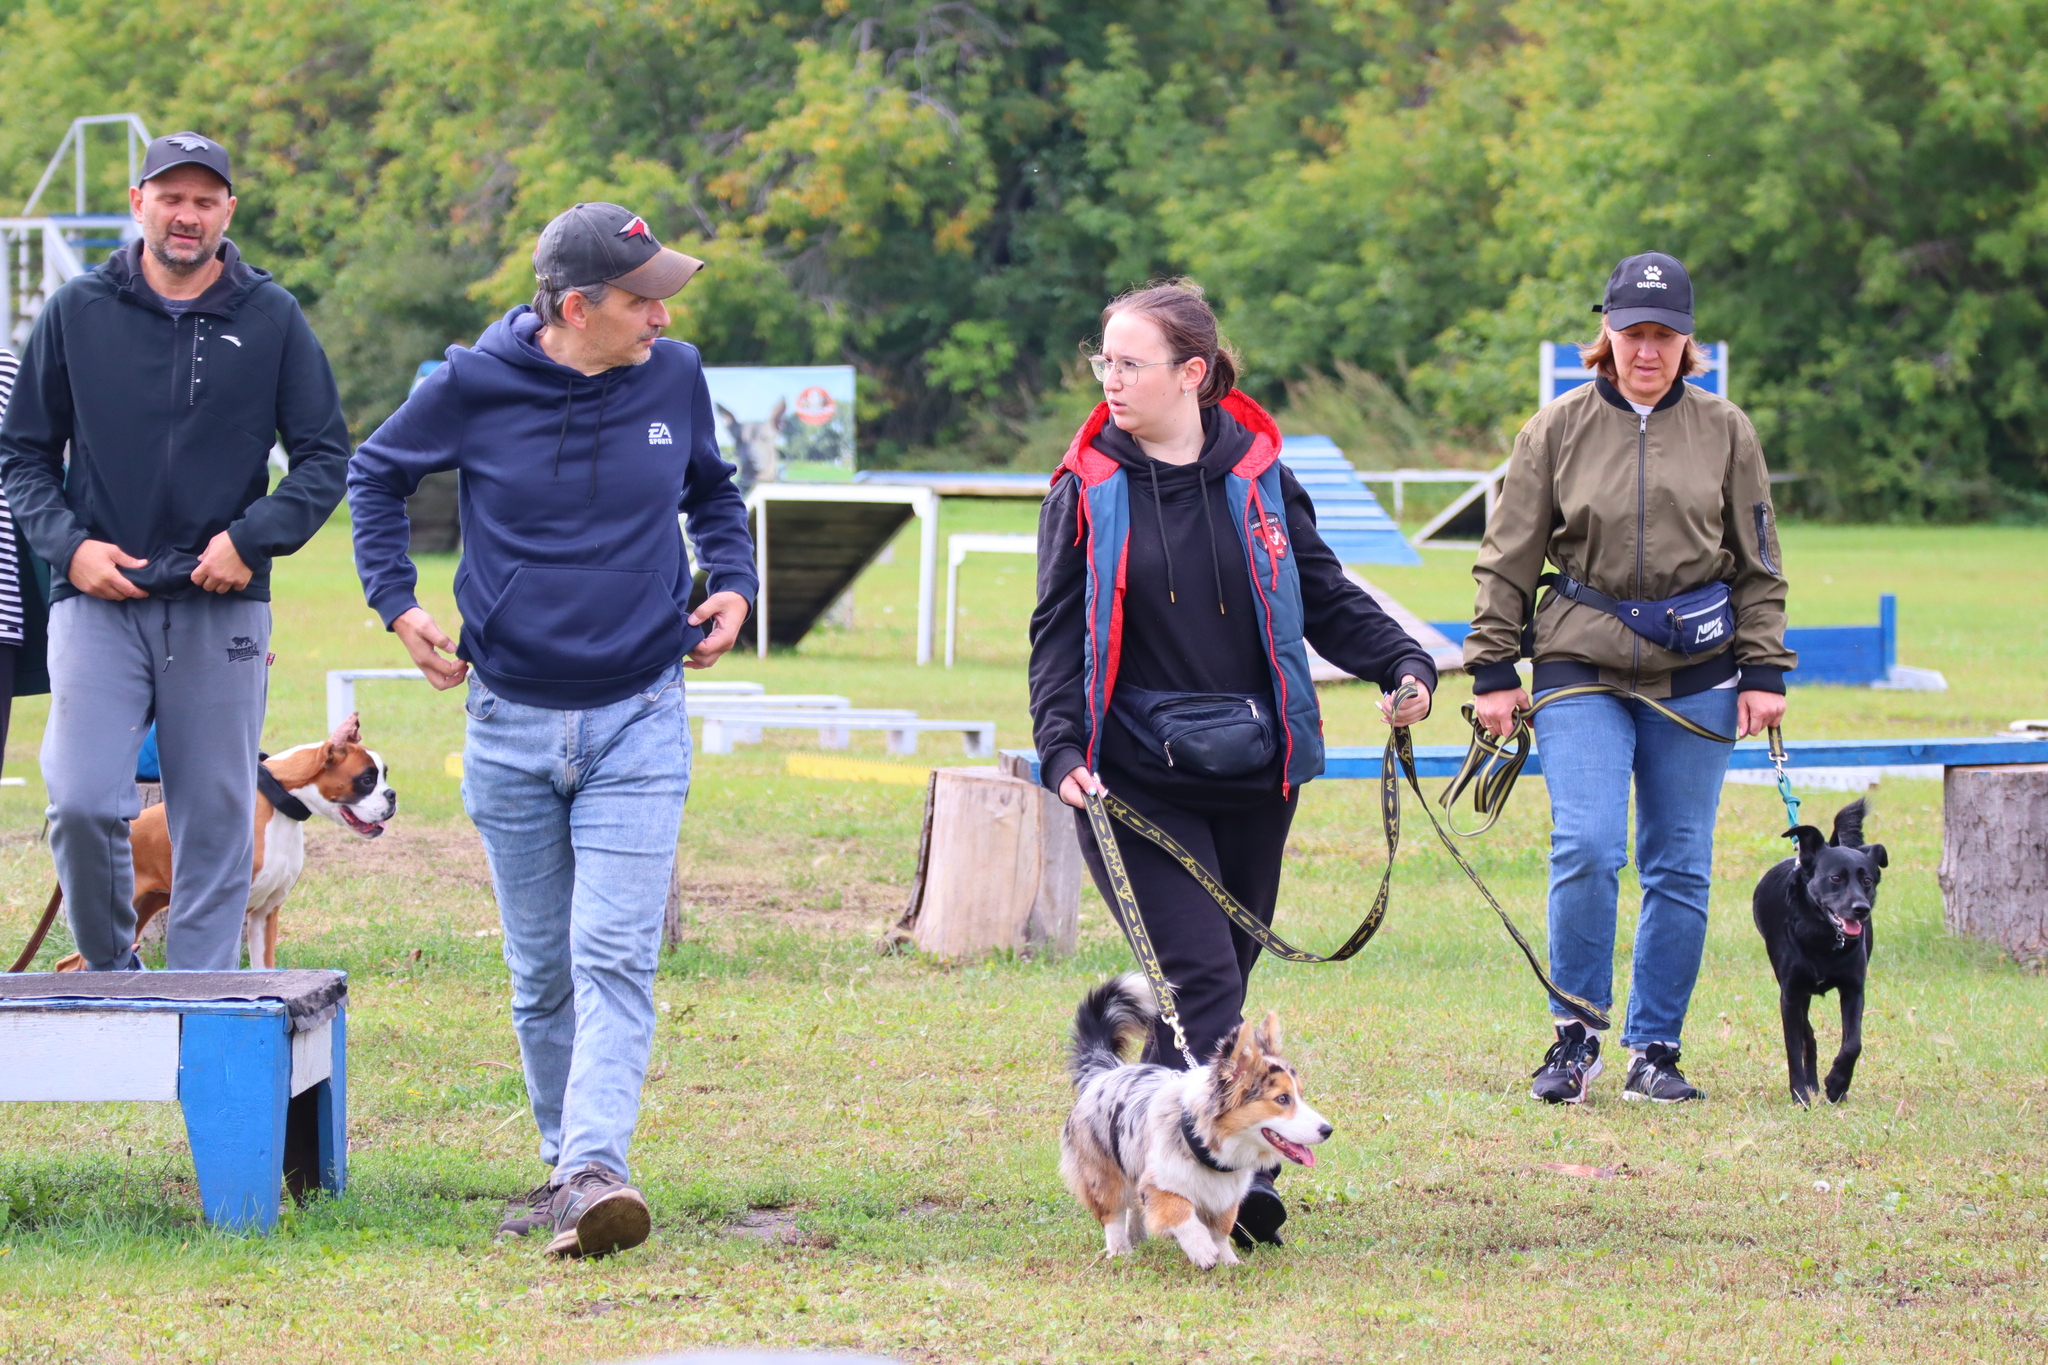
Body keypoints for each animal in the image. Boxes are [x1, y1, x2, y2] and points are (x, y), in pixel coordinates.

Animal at [55, 716, 399, 970]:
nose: (392, 795)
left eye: (383, 776)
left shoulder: (265, 915)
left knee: (67, 964)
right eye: (366, 779)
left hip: (139, 913)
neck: (276, 802)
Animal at [1761, 802, 1884, 1113]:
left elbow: (1852, 1044)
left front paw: (1838, 1085)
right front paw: (1800, 1096)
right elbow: (1794, 1047)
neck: (1822, 937)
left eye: (1867, 880)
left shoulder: (1853, 990)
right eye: (1836, 878)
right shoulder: (1790, 995)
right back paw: (1810, 1086)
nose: (1861, 909)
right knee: (1808, 1037)